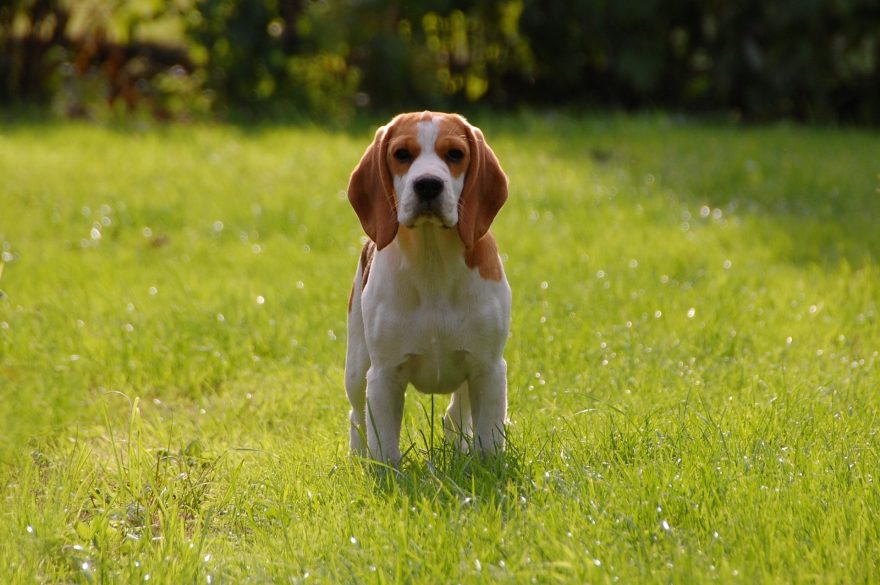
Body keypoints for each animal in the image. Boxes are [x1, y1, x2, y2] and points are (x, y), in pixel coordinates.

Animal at [344, 110, 508, 466]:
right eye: (402, 154)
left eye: (455, 154)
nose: (428, 184)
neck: (433, 261)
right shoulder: (384, 375)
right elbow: (384, 447)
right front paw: (385, 471)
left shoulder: (488, 368)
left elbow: (489, 439)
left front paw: (487, 467)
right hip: (356, 369)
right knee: (357, 416)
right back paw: (358, 458)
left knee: (455, 415)